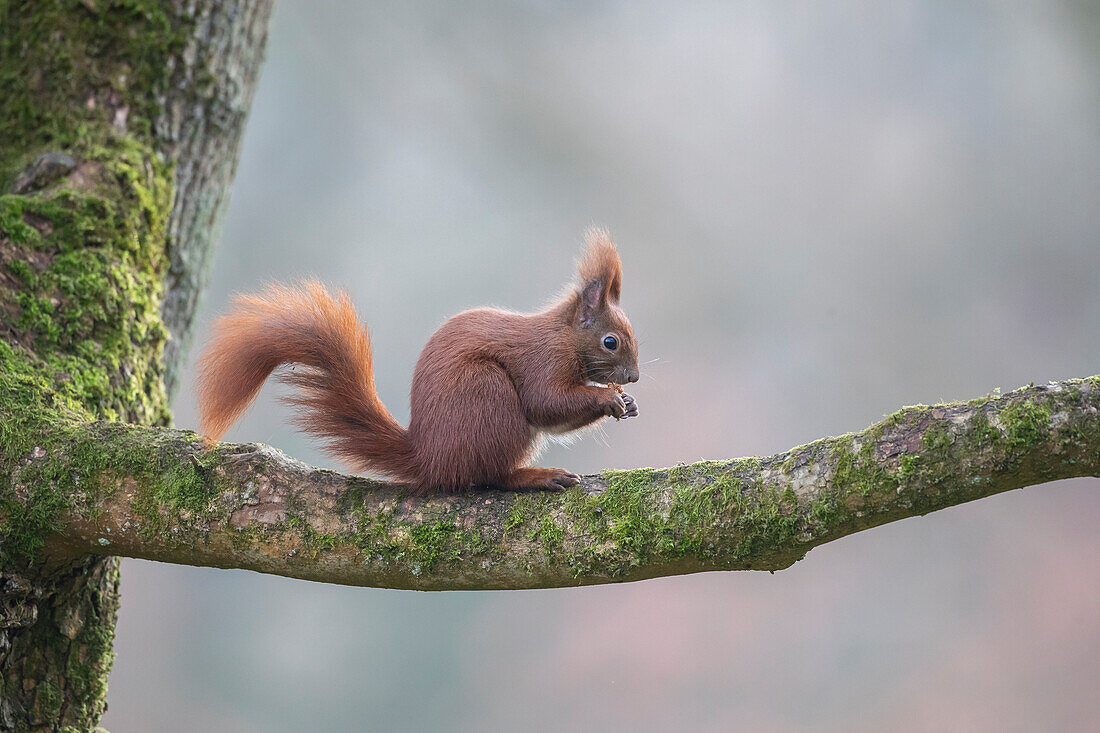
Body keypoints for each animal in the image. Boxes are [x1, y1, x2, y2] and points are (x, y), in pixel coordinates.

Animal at [199, 228, 642, 490]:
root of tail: (429, 457)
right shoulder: (543, 361)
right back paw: (534, 476)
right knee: (488, 477)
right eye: (610, 342)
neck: (563, 336)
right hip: (487, 396)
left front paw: (628, 403)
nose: (634, 378)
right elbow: (546, 402)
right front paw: (606, 397)